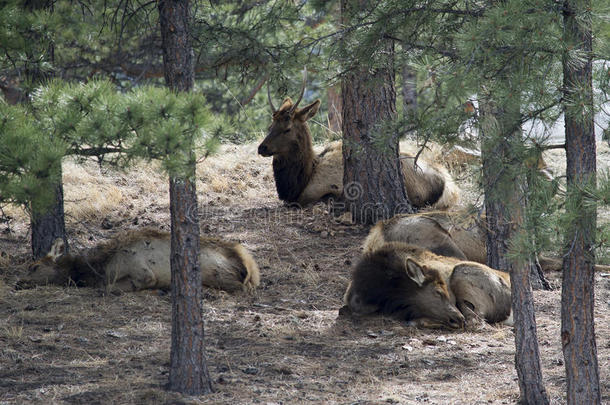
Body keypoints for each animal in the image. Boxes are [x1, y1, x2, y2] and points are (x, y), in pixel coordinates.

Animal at [17, 229, 260, 292]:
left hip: (220, 274)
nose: (18, 282)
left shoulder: (144, 274)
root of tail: (250, 264)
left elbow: (108, 288)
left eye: (34, 266)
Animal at [254, 70, 458, 208]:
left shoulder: (329, 189)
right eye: (270, 126)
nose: (261, 148)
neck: (299, 181)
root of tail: (451, 186)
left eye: (287, 129)